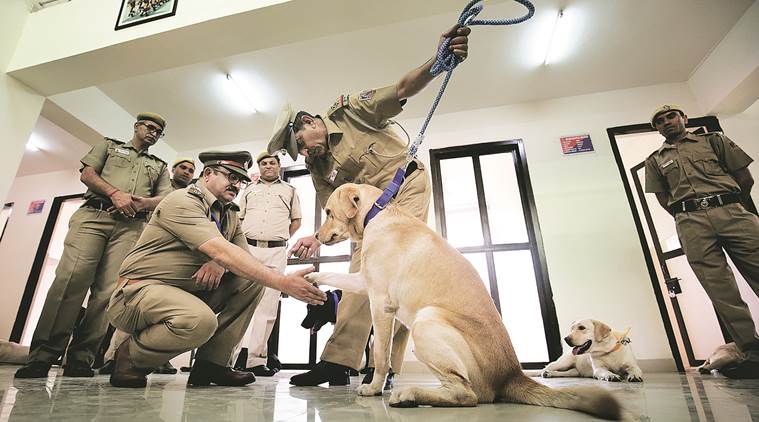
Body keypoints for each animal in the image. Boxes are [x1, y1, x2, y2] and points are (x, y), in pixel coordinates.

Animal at [306, 184, 620, 418]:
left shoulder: (380, 304)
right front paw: (310, 276)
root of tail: (512, 375)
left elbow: (381, 355)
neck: (376, 215)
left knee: (467, 395)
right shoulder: (364, 282)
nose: (317, 235)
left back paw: (409, 394)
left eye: (328, 212)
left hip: (426, 322)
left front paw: (372, 387)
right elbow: (333, 275)